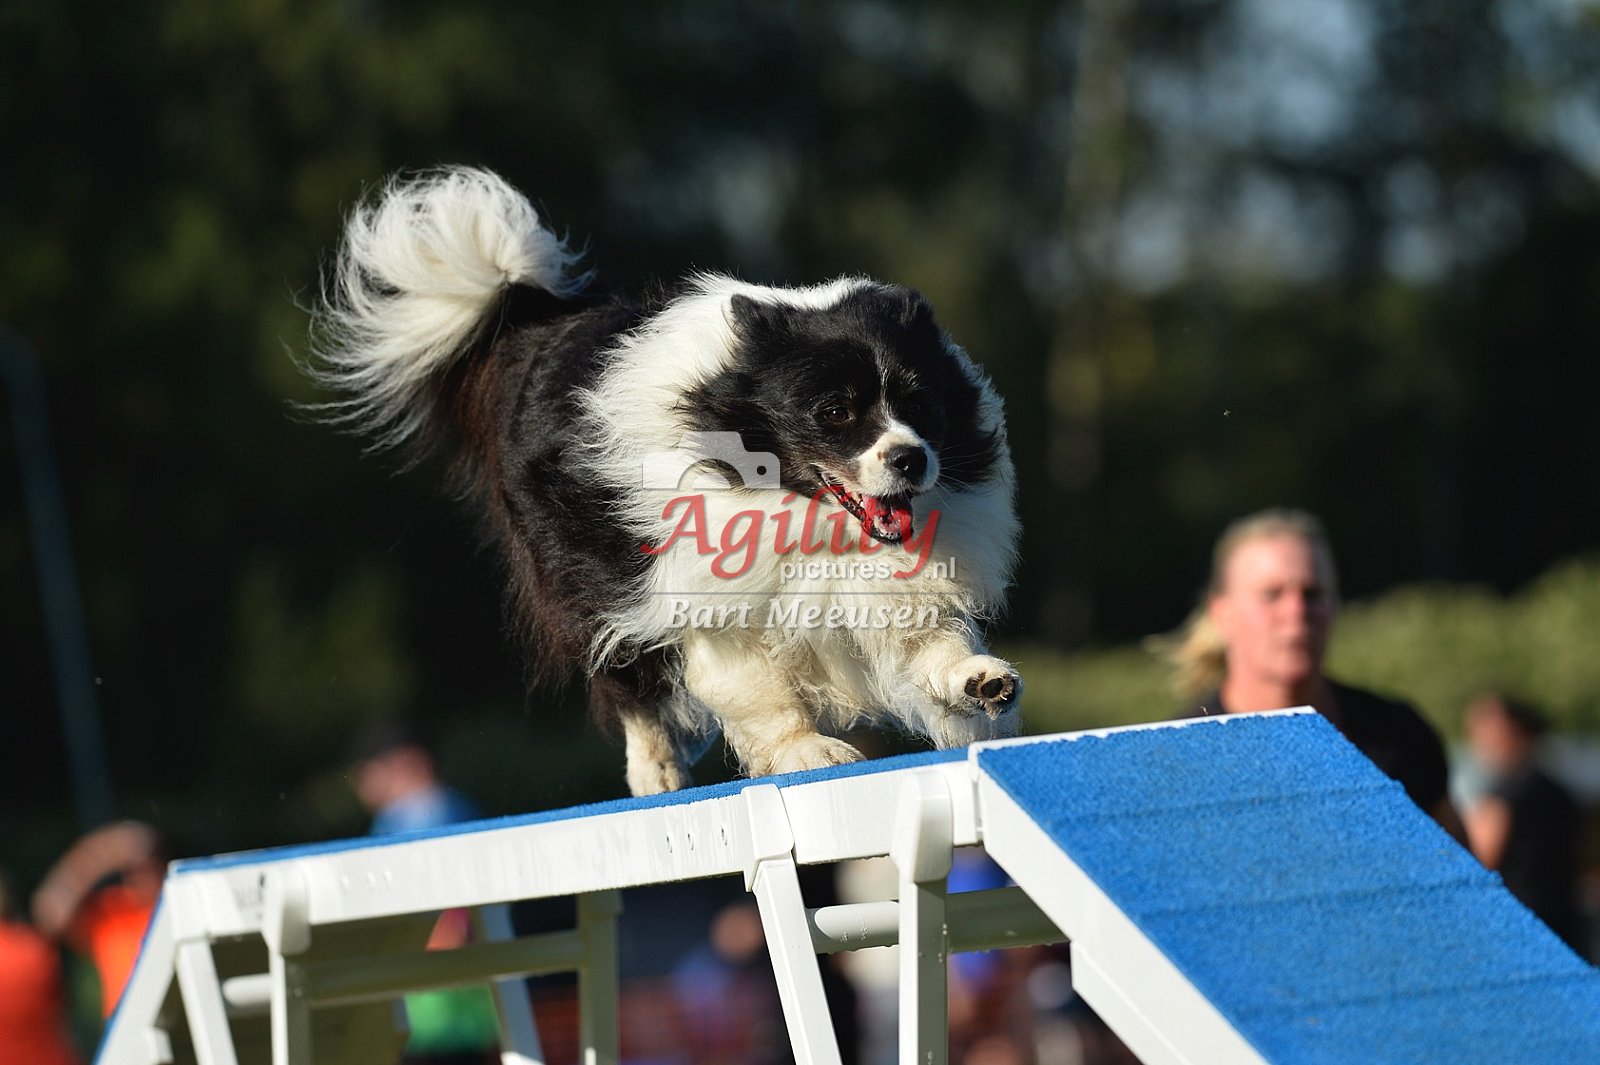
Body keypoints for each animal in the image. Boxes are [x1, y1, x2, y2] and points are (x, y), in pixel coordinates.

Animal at [310, 167, 1022, 795]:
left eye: (921, 402)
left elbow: (930, 637)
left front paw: (980, 681)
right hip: (589, 573)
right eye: (835, 412)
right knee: (635, 685)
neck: (804, 515)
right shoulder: (699, 590)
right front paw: (805, 750)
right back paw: (655, 774)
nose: (911, 458)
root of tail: (538, 325)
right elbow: (753, 686)